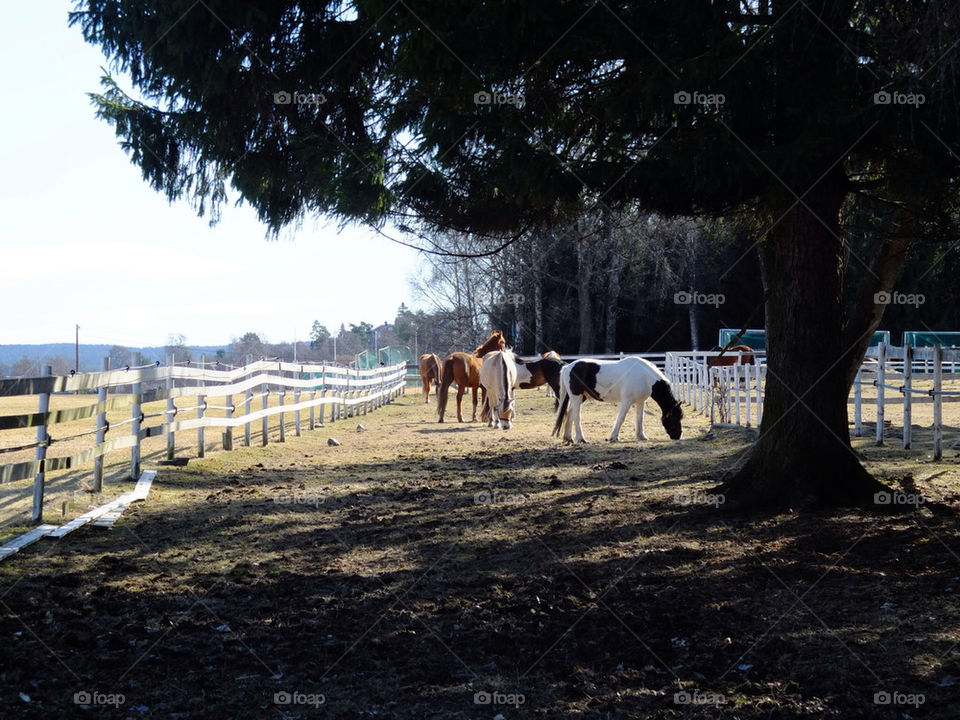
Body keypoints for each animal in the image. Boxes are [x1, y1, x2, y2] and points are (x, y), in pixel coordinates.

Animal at [553, 356, 683, 443]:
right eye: (673, 418)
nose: (678, 436)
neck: (645, 377)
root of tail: (568, 367)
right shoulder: (626, 401)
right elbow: (621, 418)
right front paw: (614, 437)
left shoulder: (640, 402)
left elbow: (640, 418)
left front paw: (641, 436)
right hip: (576, 397)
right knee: (576, 416)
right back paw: (581, 439)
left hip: (581, 397)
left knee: (570, 414)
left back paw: (568, 438)